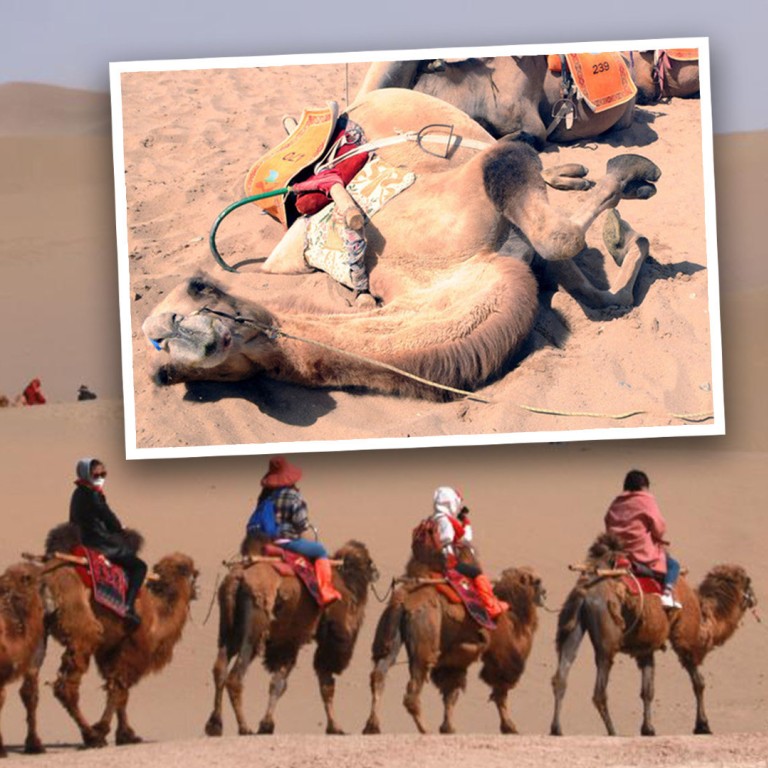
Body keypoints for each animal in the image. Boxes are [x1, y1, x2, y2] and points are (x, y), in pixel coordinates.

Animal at [41, 524, 198, 747]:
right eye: (191, 572)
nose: (195, 592)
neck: (156, 619)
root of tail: (47, 581)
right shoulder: (131, 649)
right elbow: (119, 689)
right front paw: (104, 729)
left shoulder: (110, 650)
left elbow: (119, 693)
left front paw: (127, 734)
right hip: (83, 628)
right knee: (66, 688)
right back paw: (91, 736)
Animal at [143, 89, 660, 399]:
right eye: (165, 369)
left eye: (197, 289)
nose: (168, 330)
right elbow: (592, 282)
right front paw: (628, 229)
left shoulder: (490, 182)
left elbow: (567, 246)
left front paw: (633, 179)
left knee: (515, 147)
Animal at [204, 538, 378, 736]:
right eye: (369, 562)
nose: (376, 573)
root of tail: (237, 579)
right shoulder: (321, 639)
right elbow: (324, 682)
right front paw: (335, 727)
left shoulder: (286, 642)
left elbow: (278, 683)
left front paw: (267, 725)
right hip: (253, 632)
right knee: (235, 677)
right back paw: (244, 728)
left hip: (228, 630)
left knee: (220, 669)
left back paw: (215, 725)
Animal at [363, 562, 545, 734]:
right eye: (537, 581)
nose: (545, 593)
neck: (513, 617)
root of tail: (404, 599)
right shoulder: (500, 656)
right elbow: (500, 692)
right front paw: (509, 727)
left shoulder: (454, 661)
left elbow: (451, 691)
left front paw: (448, 727)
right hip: (424, 642)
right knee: (413, 687)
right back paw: (425, 729)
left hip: (389, 636)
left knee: (379, 673)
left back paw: (372, 726)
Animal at [550, 533, 757, 736]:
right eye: (749, 584)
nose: (755, 599)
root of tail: (585, 593)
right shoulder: (684, 638)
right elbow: (699, 682)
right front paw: (703, 725)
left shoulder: (646, 646)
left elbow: (647, 690)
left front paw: (648, 729)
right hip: (607, 637)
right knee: (599, 691)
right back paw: (613, 732)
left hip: (572, 624)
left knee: (561, 676)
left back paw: (556, 729)